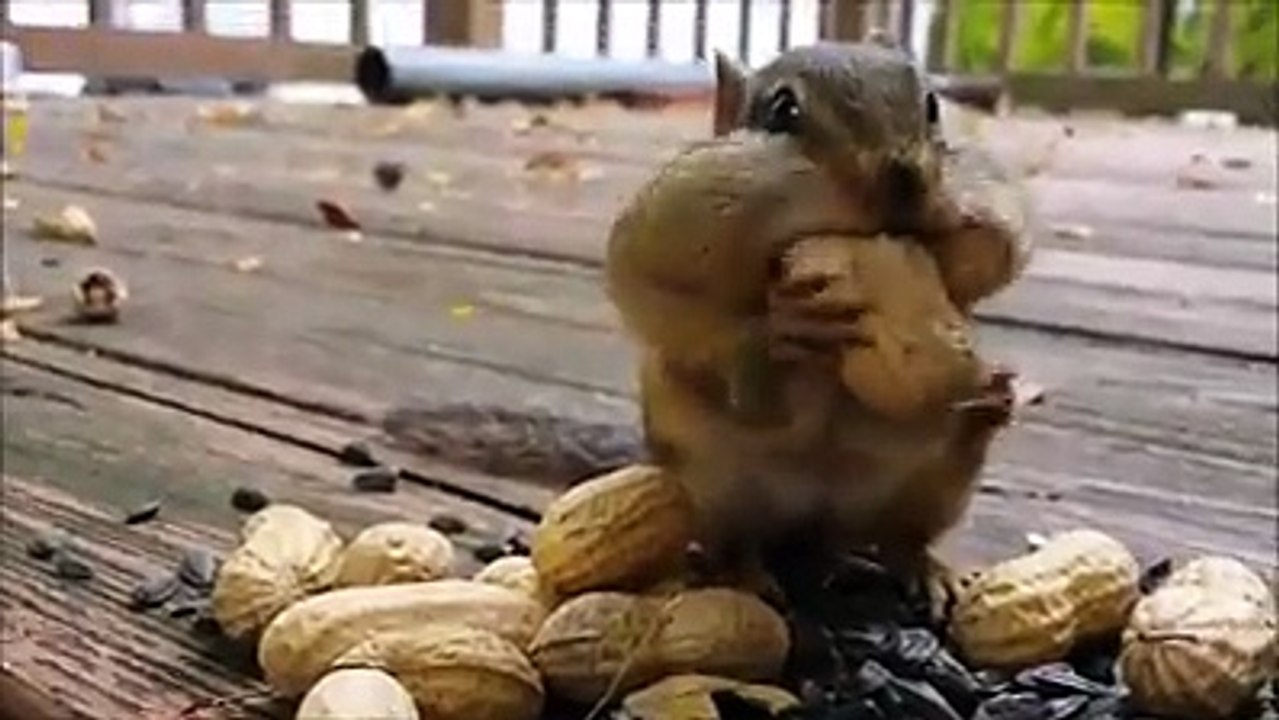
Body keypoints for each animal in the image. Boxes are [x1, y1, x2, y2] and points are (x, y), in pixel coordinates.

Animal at [604, 40, 1034, 590]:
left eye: (934, 106)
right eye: (783, 110)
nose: (904, 179)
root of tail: (814, 528)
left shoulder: (993, 202)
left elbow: (1000, 249)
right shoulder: (666, 226)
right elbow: (653, 291)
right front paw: (780, 328)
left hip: (937, 482)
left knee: (903, 536)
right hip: (708, 484)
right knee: (734, 538)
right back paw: (743, 573)